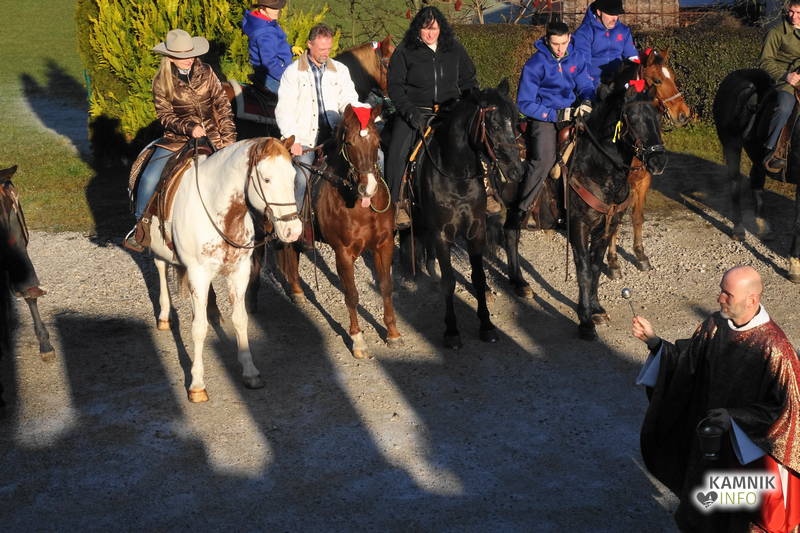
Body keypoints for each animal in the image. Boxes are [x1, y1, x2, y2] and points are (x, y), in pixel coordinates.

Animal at [145, 137, 301, 402]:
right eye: (266, 179)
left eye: (292, 177)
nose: (293, 230)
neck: (222, 214)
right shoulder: (197, 274)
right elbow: (198, 328)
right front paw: (197, 385)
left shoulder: (239, 273)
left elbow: (240, 319)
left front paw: (250, 372)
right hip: (158, 248)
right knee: (160, 267)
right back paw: (165, 316)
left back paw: (213, 310)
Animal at [272, 104, 400, 359]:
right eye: (349, 143)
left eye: (378, 141)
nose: (368, 188)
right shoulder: (344, 252)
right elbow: (351, 294)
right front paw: (358, 341)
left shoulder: (384, 245)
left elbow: (386, 287)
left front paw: (392, 333)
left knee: (294, 252)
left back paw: (297, 291)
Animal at [409, 81, 524, 349]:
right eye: (494, 125)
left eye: (515, 122)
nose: (516, 170)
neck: (455, 174)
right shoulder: (443, 233)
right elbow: (449, 282)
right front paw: (451, 331)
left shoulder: (476, 229)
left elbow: (479, 277)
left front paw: (486, 325)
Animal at [606, 49, 691, 278]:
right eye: (657, 80)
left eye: (674, 77)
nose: (684, 114)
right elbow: (614, 222)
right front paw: (613, 262)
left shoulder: (643, 182)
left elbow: (637, 217)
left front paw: (641, 255)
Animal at [713, 69, 800, 281]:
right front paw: (794, 267)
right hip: (731, 145)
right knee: (735, 184)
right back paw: (738, 229)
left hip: (757, 154)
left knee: (756, 181)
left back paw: (764, 227)